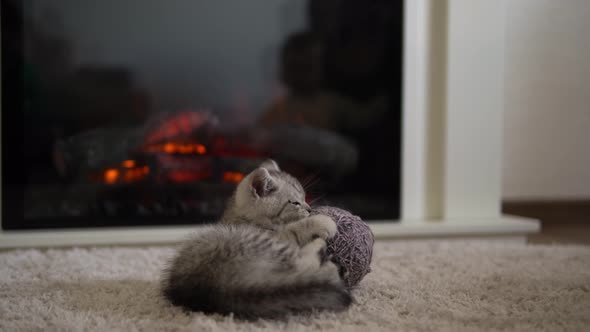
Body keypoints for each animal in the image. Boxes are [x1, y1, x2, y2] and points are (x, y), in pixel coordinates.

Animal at [161, 160, 352, 320]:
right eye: (296, 203)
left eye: (305, 198)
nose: (310, 209)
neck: (243, 217)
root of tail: (219, 285)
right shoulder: (278, 235)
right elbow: (294, 229)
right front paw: (322, 222)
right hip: (266, 245)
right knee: (304, 264)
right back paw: (324, 254)